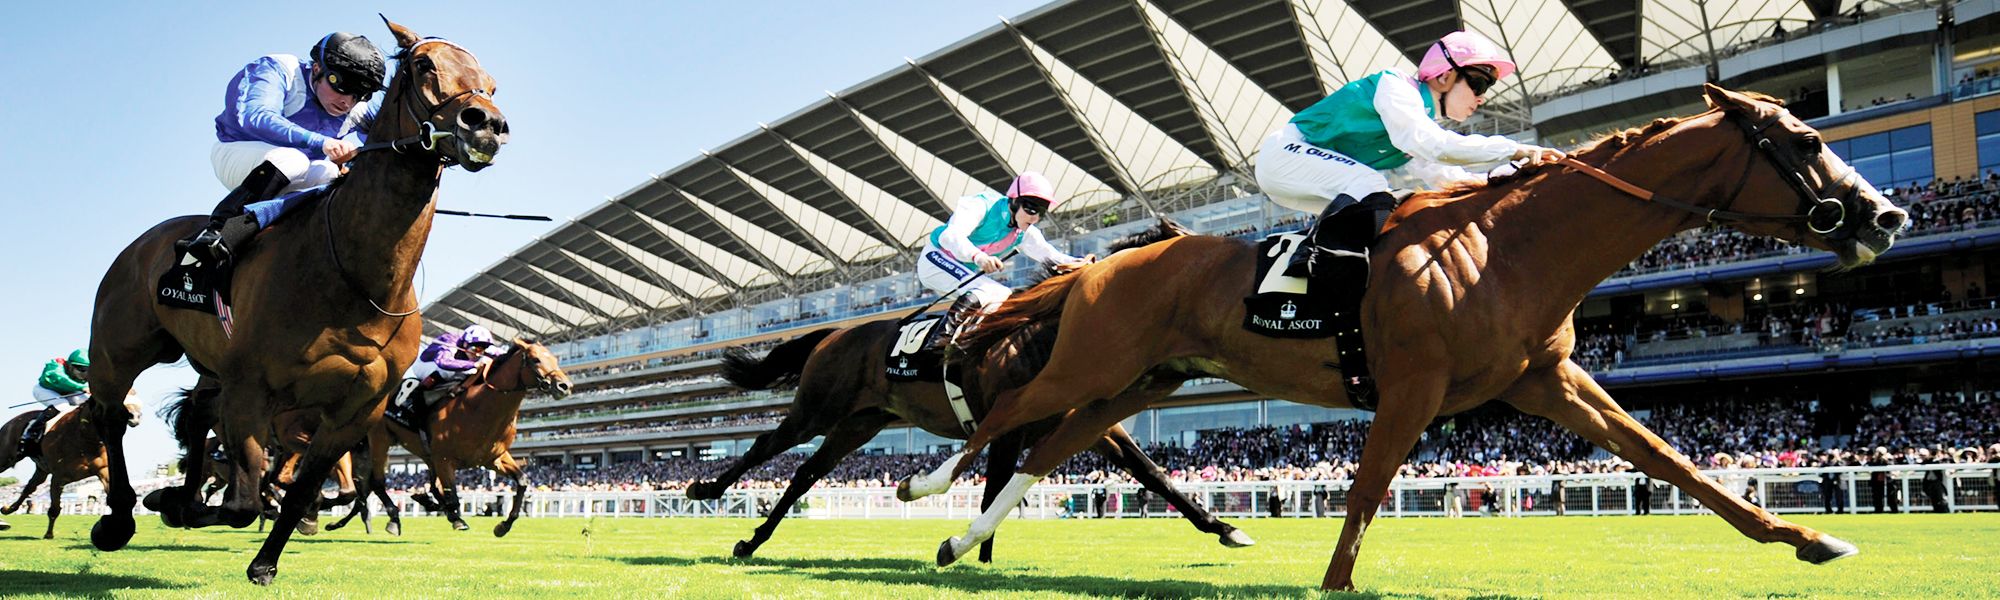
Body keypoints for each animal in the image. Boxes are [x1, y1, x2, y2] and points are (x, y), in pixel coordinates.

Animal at [0, 398, 141, 540]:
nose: (134, 416)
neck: (85, 436)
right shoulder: (58, 477)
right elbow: (54, 509)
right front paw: (49, 534)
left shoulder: (103, 470)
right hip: (6, 459)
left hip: (41, 469)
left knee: (30, 487)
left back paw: (8, 509)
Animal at [88, 16, 508, 584]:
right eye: (424, 65)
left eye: (492, 84)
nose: (484, 124)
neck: (356, 279)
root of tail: (145, 243)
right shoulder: (251, 389)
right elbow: (246, 500)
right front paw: (178, 503)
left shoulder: (355, 410)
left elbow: (298, 489)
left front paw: (263, 559)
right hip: (120, 350)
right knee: (110, 415)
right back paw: (119, 518)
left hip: (210, 367)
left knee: (196, 416)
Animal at [328, 338, 576, 540]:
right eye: (535, 359)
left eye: (555, 358)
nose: (565, 385)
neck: (478, 407)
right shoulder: (445, 459)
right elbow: (453, 496)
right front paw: (458, 519)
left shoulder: (493, 458)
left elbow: (522, 482)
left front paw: (503, 526)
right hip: (380, 438)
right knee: (377, 482)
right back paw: (394, 518)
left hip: (419, 451)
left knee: (374, 486)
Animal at [680, 221, 1248, 564]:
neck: (1042, 337)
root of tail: (835, 333)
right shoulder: (1009, 424)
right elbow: (997, 488)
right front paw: (976, 557)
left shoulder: (1092, 424)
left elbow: (1154, 475)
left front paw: (1224, 527)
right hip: (817, 410)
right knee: (765, 447)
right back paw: (704, 489)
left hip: (858, 424)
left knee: (803, 475)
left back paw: (752, 540)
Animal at [908, 85, 1904, 592]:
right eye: (1806, 140)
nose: (1886, 215)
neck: (1507, 245)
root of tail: (1099, 264)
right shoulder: (1414, 386)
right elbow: (1367, 490)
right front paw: (1336, 584)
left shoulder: (1548, 380)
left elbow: (1670, 460)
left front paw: (1808, 539)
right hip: (1098, 359)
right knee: (1009, 415)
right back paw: (925, 487)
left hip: (1143, 378)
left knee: (1060, 439)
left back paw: (962, 543)